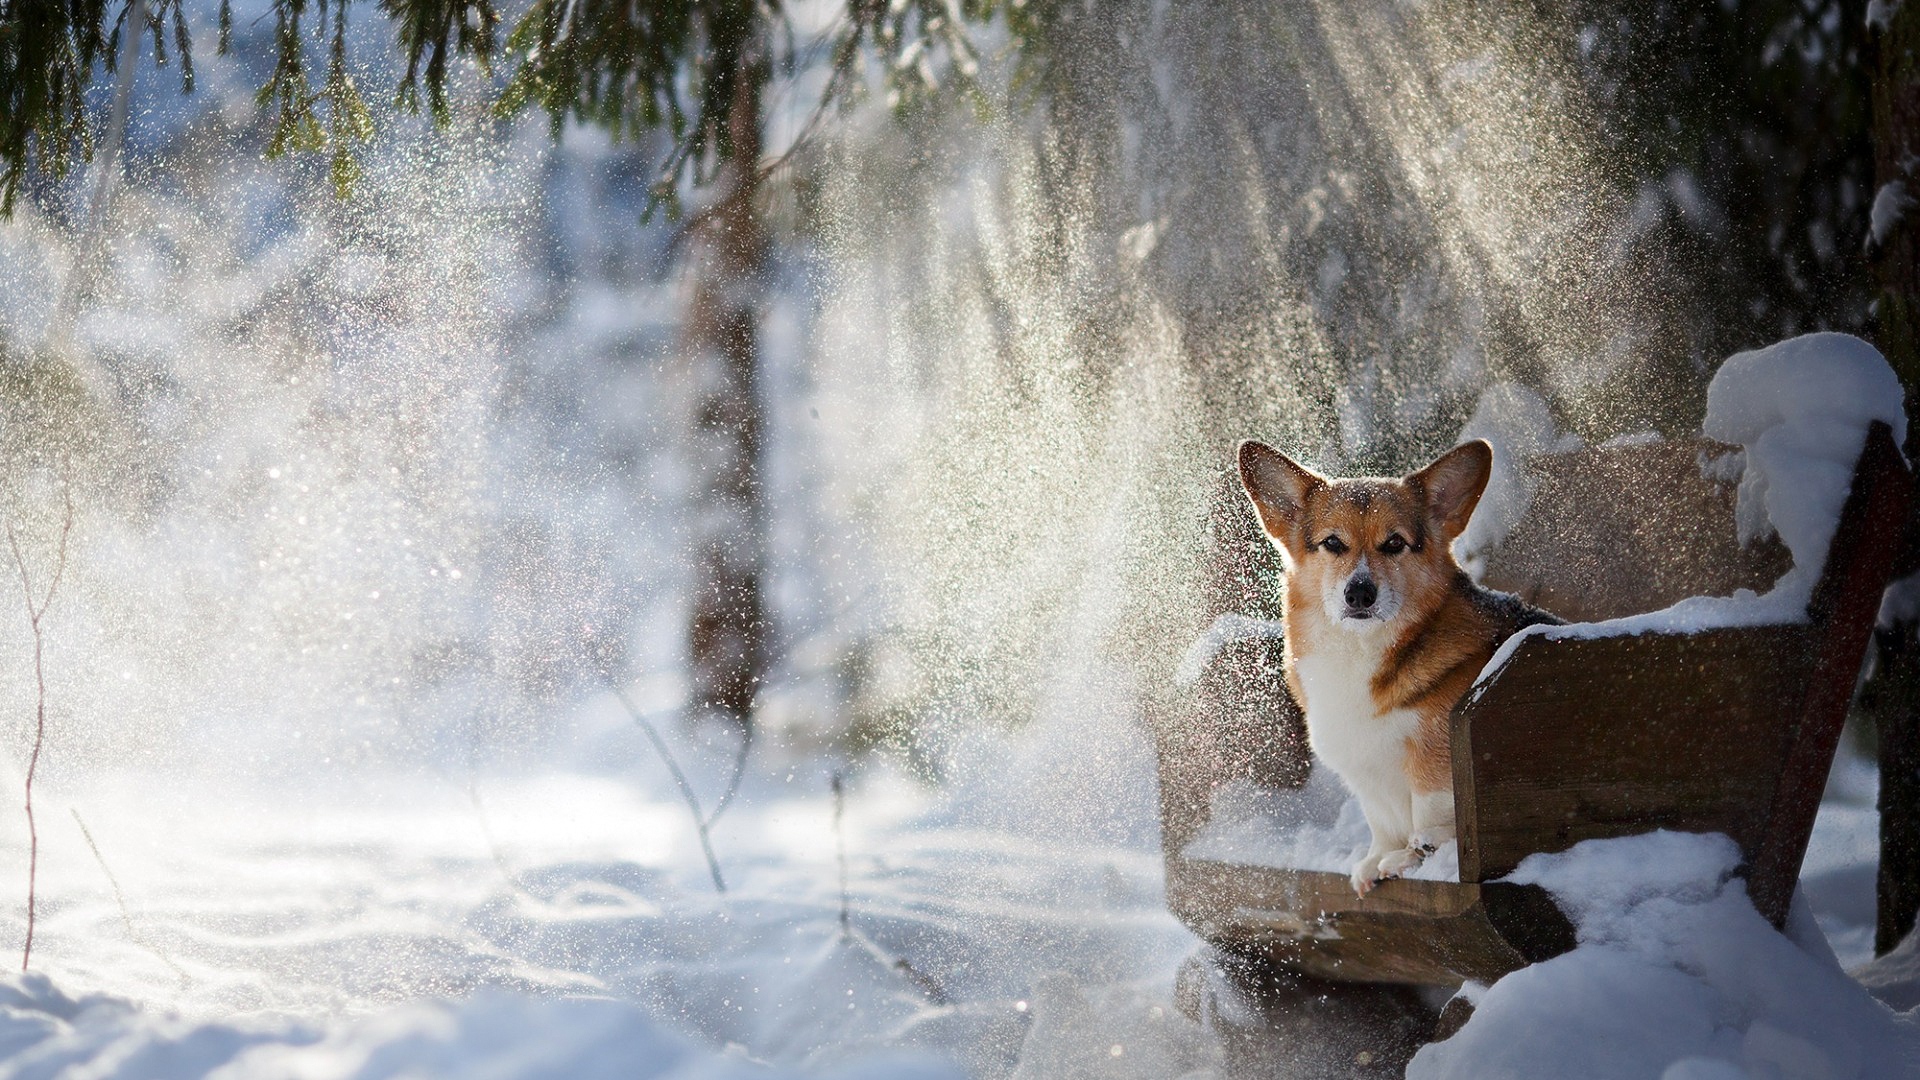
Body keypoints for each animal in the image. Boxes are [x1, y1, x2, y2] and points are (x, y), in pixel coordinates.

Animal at [1228, 434, 1559, 891]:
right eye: (1333, 543)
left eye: (1395, 543)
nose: (1359, 594)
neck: (1358, 649)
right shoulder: (1367, 778)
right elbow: (1380, 820)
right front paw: (1376, 860)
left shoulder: (1435, 754)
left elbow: (1430, 807)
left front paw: (1413, 855)